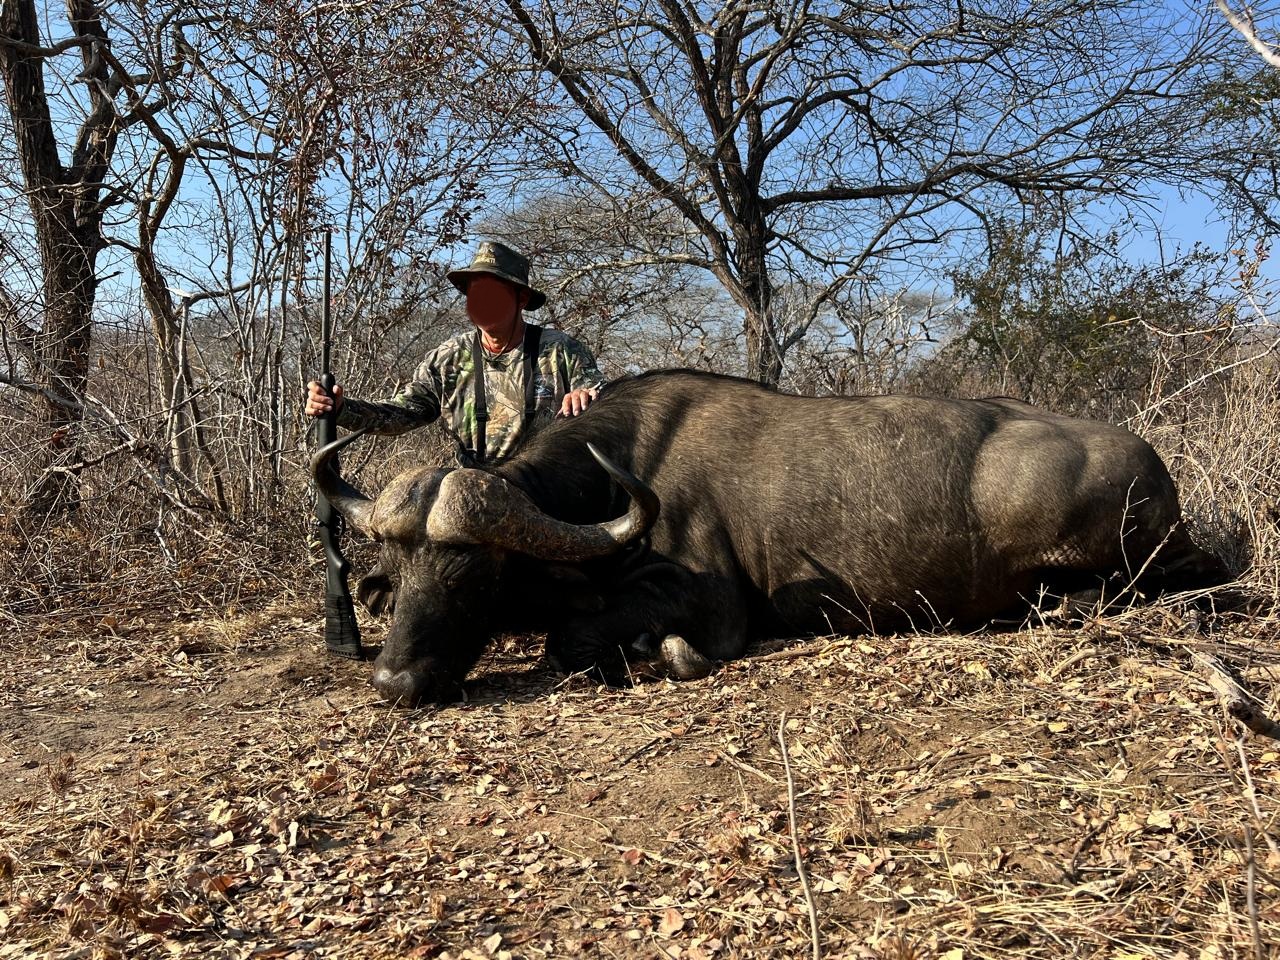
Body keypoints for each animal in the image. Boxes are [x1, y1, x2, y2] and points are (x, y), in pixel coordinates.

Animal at [312, 370, 1226, 705]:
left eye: (474, 569)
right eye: (399, 560)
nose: (396, 680)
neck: (621, 472)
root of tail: (1152, 466)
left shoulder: (710, 606)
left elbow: (573, 641)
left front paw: (657, 654)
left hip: (1134, 561)